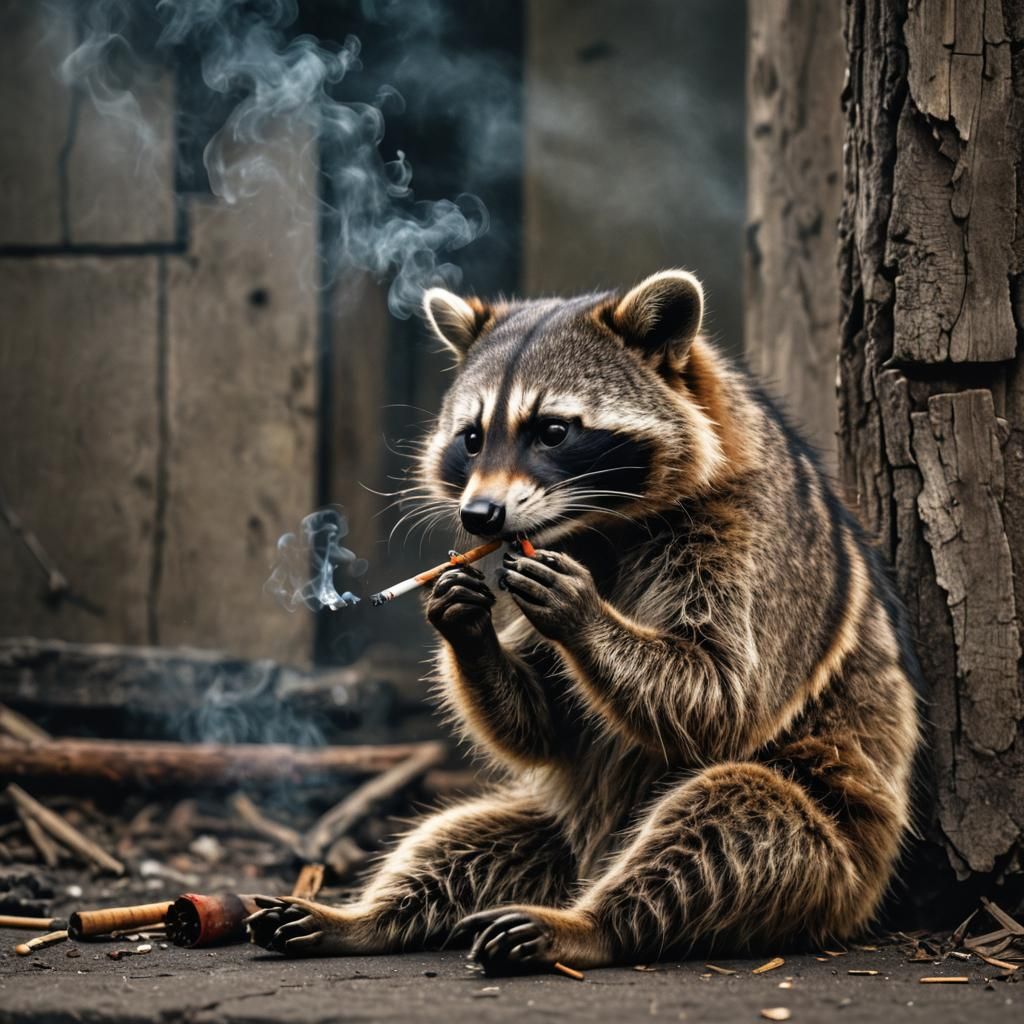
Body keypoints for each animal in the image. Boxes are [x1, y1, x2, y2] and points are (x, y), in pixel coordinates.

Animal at [249, 270, 922, 969]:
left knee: (736, 817)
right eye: (471, 437)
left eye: (552, 431)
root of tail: (586, 868)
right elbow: (546, 723)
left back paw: (590, 925)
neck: (604, 525)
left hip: (839, 859)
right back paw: (368, 918)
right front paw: (467, 629)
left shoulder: (757, 538)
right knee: (455, 836)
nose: (479, 518)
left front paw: (583, 615)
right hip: (552, 831)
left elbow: (724, 697)